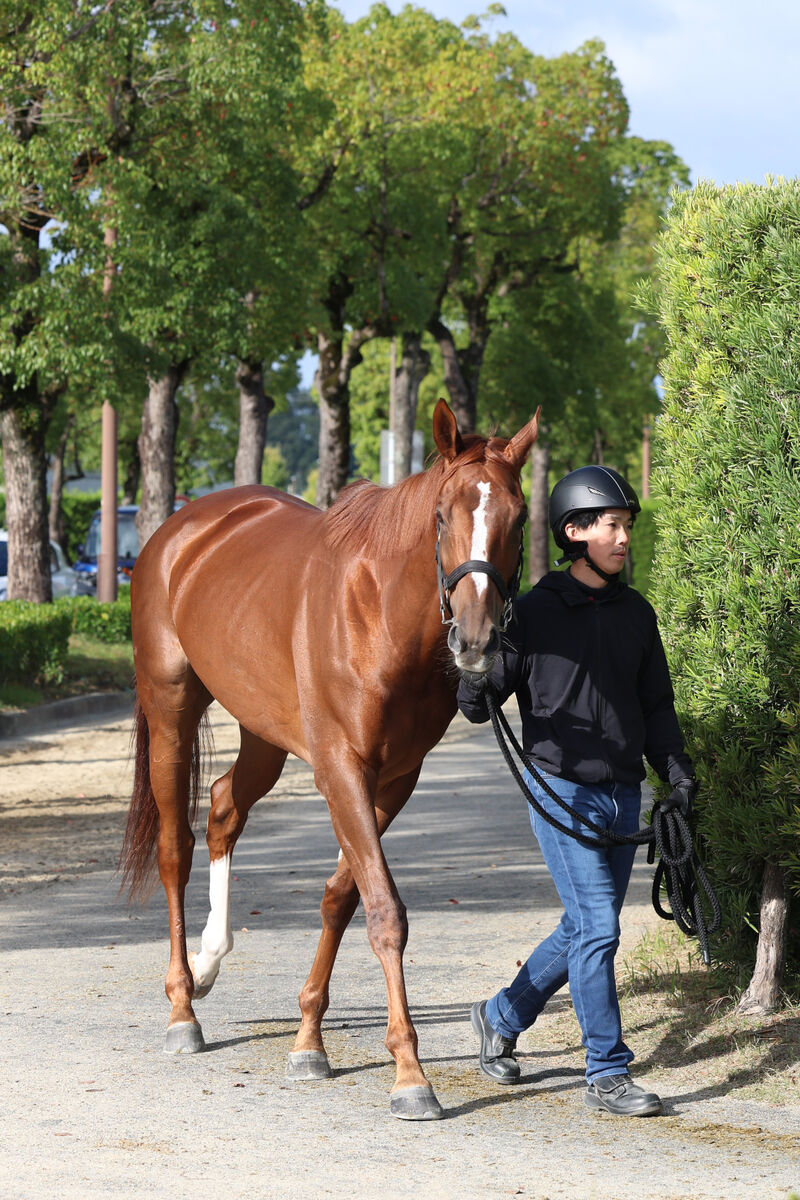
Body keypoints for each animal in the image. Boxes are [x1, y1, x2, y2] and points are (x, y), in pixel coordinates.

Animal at [122, 398, 537, 1118]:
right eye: (442, 514)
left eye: (518, 517)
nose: (478, 641)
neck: (378, 613)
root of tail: (179, 530)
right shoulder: (340, 768)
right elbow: (384, 910)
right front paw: (410, 1074)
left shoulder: (394, 778)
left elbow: (343, 896)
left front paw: (309, 1038)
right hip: (171, 708)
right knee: (175, 847)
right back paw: (182, 1006)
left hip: (264, 730)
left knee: (225, 806)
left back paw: (209, 961)